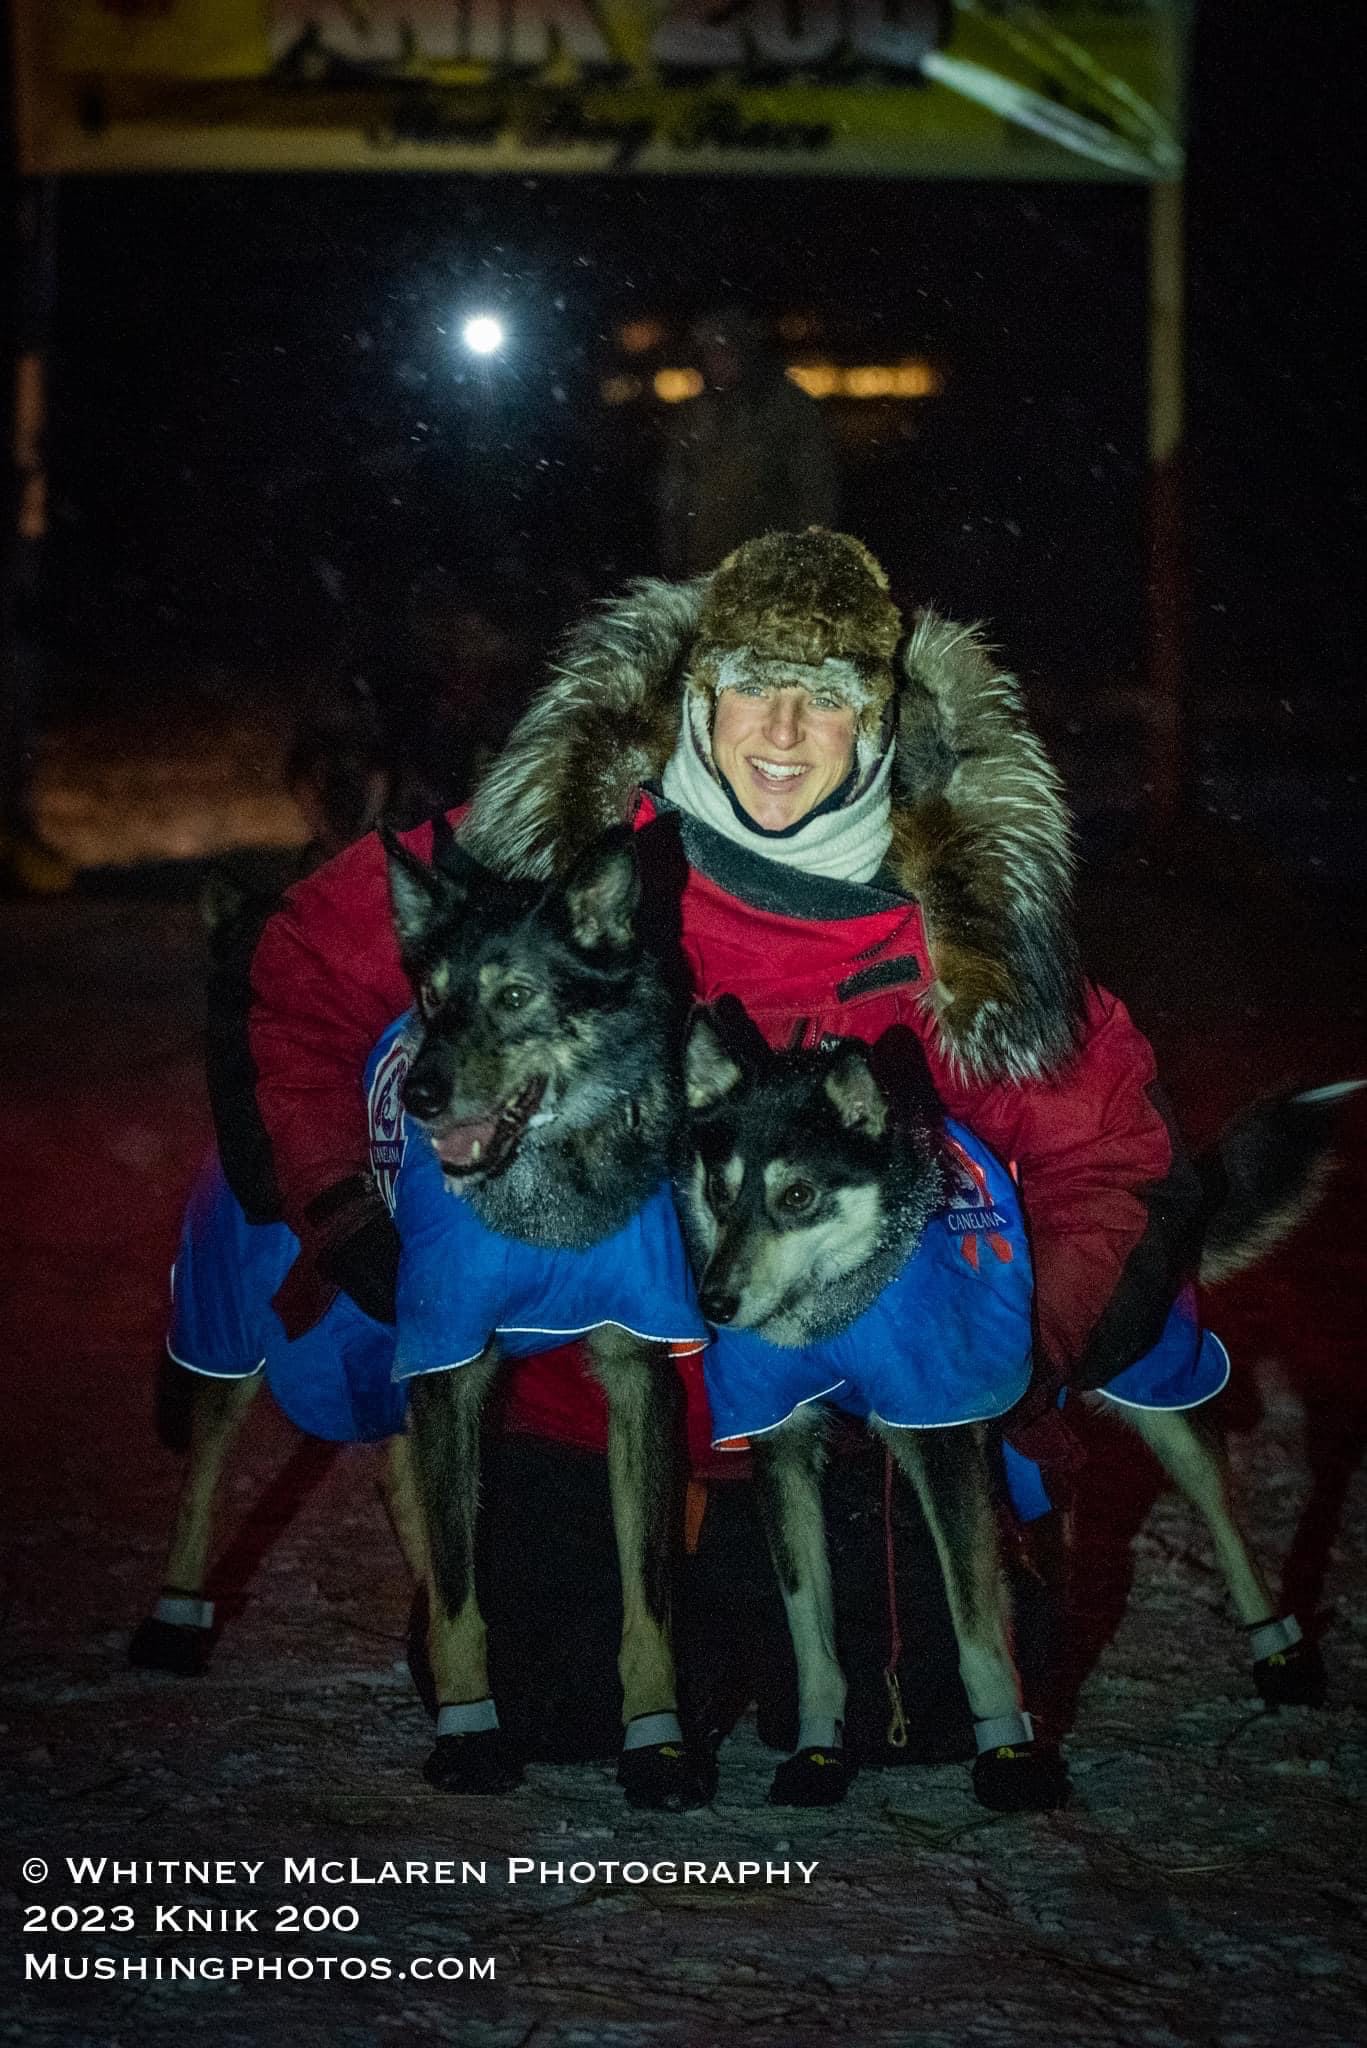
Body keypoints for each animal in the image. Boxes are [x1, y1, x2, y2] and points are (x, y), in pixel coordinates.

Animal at [383, 815, 705, 1810]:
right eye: (432, 996)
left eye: (516, 995)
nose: (418, 1096)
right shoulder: (444, 1373)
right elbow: (459, 1596)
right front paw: (467, 1733)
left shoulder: (641, 1373)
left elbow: (649, 1601)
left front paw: (656, 1742)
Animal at [676, 1003, 1344, 1810]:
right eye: (719, 1192)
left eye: (798, 1196)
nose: (715, 1304)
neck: (842, 1310)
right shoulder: (784, 1442)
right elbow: (812, 1633)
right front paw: (817, 1749)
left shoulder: (941, 1438)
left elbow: (976, 1634)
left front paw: (1007, 1751)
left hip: (1158, 1384)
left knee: (1225, 1520)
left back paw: (1278, 1649)